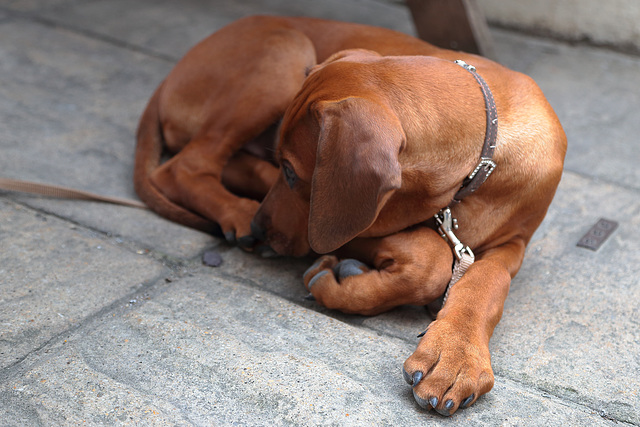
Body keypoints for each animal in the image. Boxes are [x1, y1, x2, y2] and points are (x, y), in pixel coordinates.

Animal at [135, 15, 564, 414]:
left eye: (291, 171)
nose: (260, 228)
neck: (483, 157)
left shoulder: (514, 244)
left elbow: (488, 282)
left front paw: (457, 357)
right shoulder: (340, 224)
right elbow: (430, 257)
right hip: (284, 52)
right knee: (182, 167)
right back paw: (239, 210)